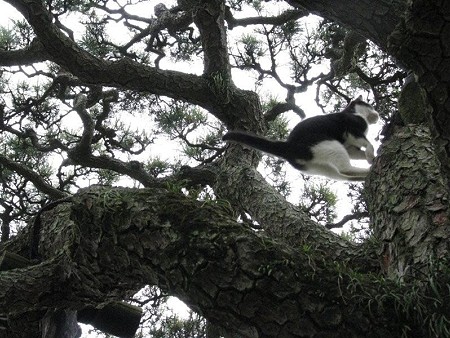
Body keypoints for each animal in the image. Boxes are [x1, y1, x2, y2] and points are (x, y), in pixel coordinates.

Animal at [223, 96, 378, 181]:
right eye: (370, 105)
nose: (377, 114)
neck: (354, 113)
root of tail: (288, 146)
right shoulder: (352, 131)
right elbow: (369, 144)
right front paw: (371, 156)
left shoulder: (350, 148)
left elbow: (359, 153)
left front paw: (371, 157)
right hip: (331, 145)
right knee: (346, 169)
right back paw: (367, 172)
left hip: (318, 166)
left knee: (342, 175)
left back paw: (363, 176)